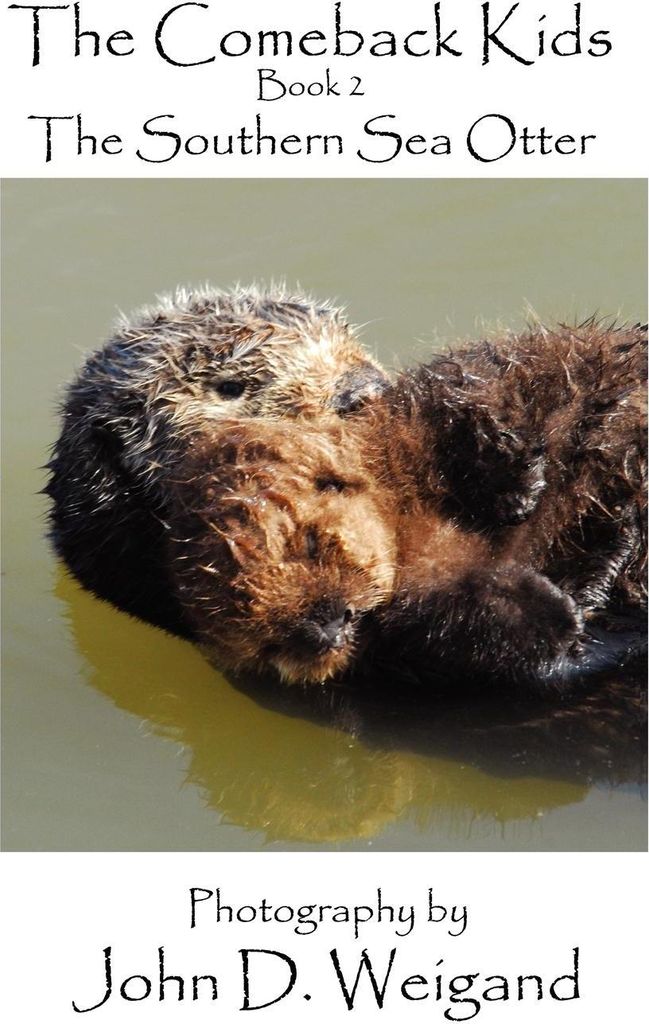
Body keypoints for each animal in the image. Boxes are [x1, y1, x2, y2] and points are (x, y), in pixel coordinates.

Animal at [164, 321, 646, 690]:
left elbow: (469, 405)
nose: (326, 629)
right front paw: (563, 611)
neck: (407, 513)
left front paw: (520, 491)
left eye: (310, 545)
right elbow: (472, 628)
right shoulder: (411, 626)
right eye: (270, 641)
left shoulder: (422, 412)